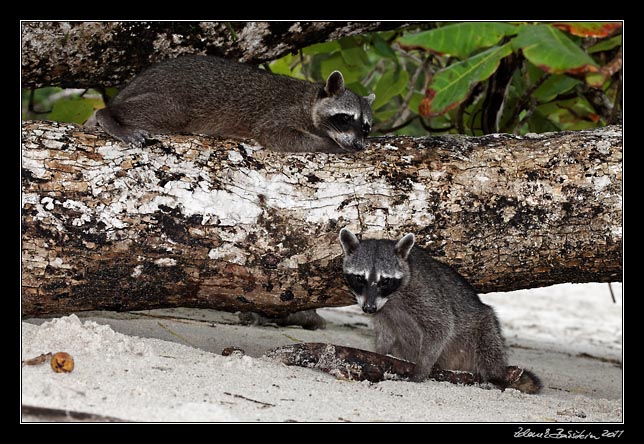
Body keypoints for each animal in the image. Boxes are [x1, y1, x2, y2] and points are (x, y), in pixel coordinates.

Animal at [90, 55, 372, 153]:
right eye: (345, 118)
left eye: (366, 127)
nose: (358, 145)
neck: (311, 99)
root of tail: (130, 86)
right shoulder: (284, 112)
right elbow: (276, 135)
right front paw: (329, 144)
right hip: (172, 97)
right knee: (169, 112)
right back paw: (108, 114)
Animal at [340, 227, 540, 394]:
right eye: (360, 278)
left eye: (385, 281)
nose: (368, 309)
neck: (390, 298)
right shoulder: (383, 312)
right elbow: (386, 335)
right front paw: (379, 355)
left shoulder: (425, 293)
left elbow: (441, 327)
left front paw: (421, 369)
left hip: (483, 329)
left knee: (489, 348)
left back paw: (494, 378)